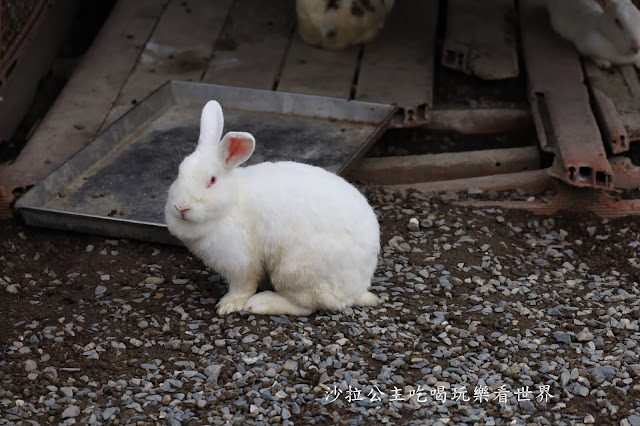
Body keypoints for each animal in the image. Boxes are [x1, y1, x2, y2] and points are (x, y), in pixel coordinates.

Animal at [165, 100, 380, 316]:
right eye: (179, 173)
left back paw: (260, 303)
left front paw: (227, 305)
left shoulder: (240, 261)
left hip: (294, 271)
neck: (233, 200)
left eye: (212, 180)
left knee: (307, 306)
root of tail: (357, 289)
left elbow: (242, 286)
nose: (181, 207)